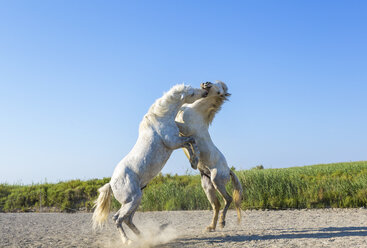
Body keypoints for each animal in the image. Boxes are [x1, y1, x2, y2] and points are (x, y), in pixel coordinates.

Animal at [92, 83, 210, 244]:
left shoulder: (176, 141)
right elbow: (191, 140)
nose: (205, 91)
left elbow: (189, 142)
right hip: (132, 200)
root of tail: (111, 183)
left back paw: (143, 237)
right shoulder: (172, 142)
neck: (162, 118)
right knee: (118, 219)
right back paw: (128, 241)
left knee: (127, 219)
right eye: (191, 93)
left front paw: (193, 161)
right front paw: (194, 160)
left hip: (135, 200)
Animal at [176, 82, 244, 232]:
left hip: (216, 180)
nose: (206, 83)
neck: (195, 110)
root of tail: (228, 170)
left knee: (228, 199)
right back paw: (211, 226)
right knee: (216, 205)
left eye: (219, 91)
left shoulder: (184, 128)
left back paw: (222, 223)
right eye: (216, 83)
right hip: (207, 186)